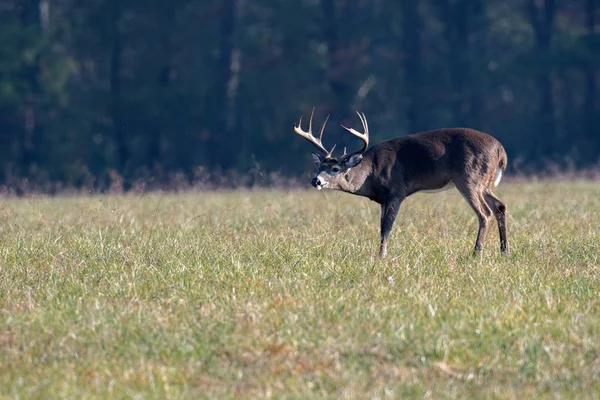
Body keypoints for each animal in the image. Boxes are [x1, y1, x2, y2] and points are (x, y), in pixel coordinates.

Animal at [292, 108, 508, 258]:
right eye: (320, 167)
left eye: (335, 169)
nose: (315, 180)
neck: (371, 173)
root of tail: (501, 150)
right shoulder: (382, 200)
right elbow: (381, 226)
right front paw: (380, 253)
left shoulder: (396, 192)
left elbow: (386, 227)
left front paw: (381, 256)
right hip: (485, 183)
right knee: (500, 206)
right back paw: (504, 250)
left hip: (468, 178)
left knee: (484, 213)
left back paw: (476, 253)